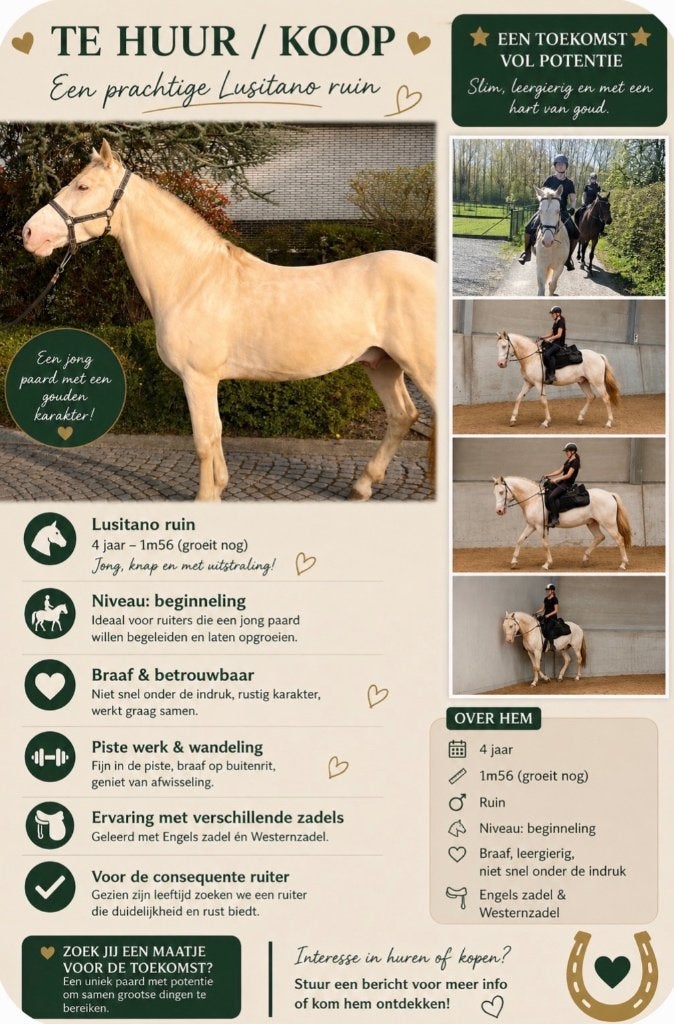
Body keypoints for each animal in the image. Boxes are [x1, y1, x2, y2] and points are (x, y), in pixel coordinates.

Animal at [22, 141, 436, 502]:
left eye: (83, 186)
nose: (29, 233)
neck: (193, 280)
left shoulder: (198, 377)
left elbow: (204, 440)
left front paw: (205, 497)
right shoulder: (208, 380)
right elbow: (217, 433)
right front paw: (220, 488)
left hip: (421, 369)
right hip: (381, 364)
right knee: (403, 415)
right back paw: (362, 486)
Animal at [492, 475, 632, 570]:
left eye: (501, 492)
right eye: (495, 493)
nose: (499, 511)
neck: (534, 499)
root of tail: (610, 494)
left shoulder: (539, 527)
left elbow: (545, 545)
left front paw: (547, 564)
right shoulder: (531, 525)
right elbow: (520, 540)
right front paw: (513, 562)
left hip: (609, 524)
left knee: (619, 539)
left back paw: (623, 564)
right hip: (592, 523)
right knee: (599, 537)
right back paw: (585, 558)